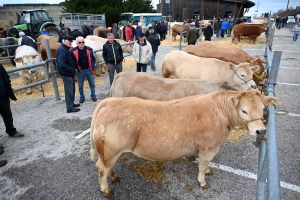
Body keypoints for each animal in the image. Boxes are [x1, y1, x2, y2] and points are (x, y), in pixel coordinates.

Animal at [89, 89, 276, 197]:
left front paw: (208, 171)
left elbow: (205, 164)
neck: (220, 112)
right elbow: (202, 164)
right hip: (111, 150)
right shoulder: (209, 147)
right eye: (244, 111)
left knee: (107, 167)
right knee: (100, 168)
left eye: (262, 108)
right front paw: (203, 181)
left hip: (110, 151)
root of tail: (112, 101)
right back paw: (106, 190)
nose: (261, 131)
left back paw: (114, 177)